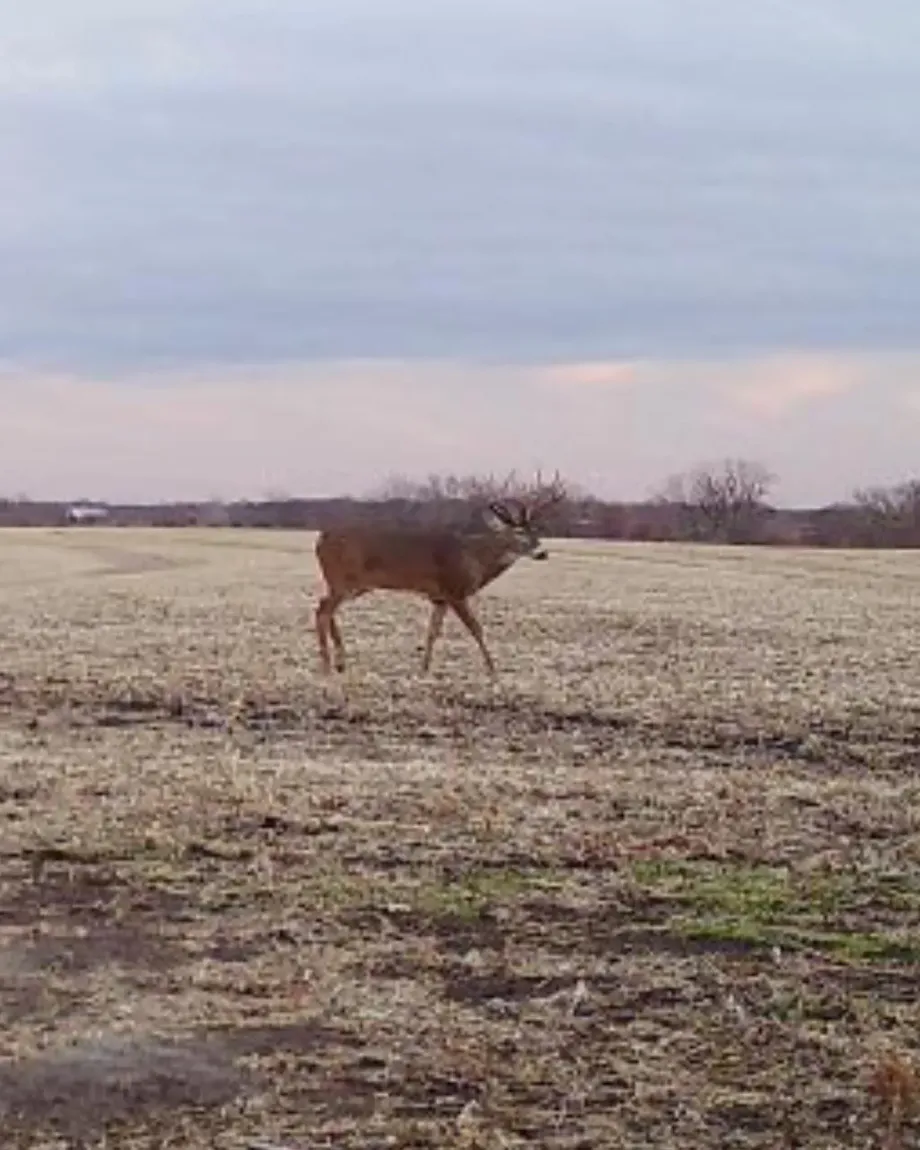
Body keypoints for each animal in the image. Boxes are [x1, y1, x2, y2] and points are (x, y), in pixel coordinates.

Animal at [314, 472, 566, 676]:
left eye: (537, 531)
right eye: (519, 533)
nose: (543, 553)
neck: (475, 557)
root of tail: (321, 539)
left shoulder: (440, 598)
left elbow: (432, 632)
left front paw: (424, 668)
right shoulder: (455, 590)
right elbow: (477, 629)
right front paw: (493, 670)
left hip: (349, 584)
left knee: (327, 608)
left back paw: (340, 663)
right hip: (343, 580)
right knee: (322, 611)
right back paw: (327, 666)